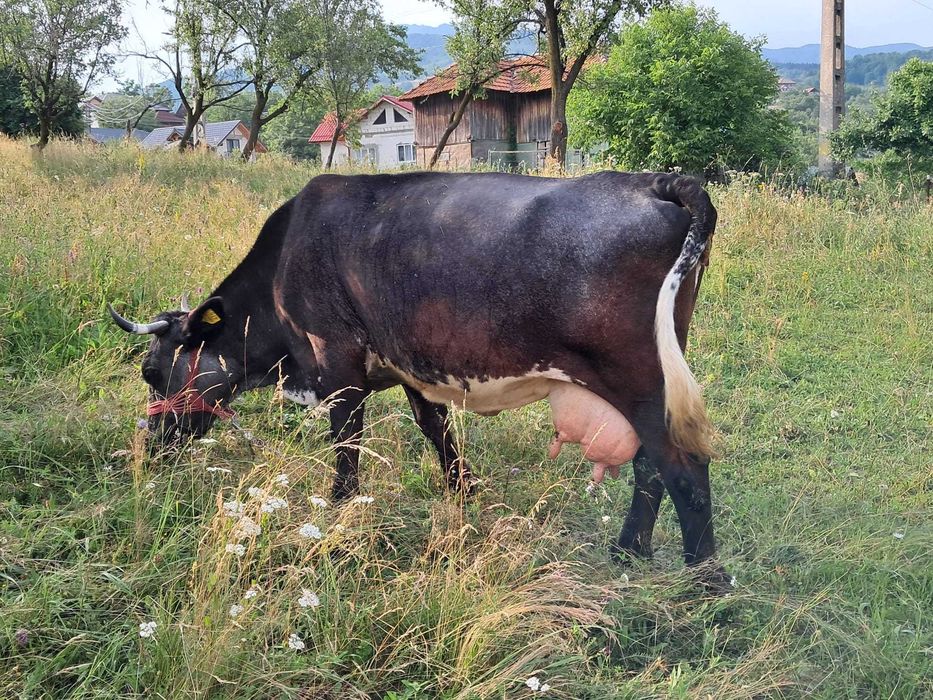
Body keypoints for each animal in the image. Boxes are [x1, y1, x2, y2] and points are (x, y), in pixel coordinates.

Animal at [109, 171, 729, 588]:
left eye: (151, 370)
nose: (148, 443)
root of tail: (656, 180)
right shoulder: (408, 365)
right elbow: (437, 431)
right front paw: (466, 494)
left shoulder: (337, 361)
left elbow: (347, 444)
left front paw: (338, 514)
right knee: (650, 467)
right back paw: (630, 553)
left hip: (641, 379)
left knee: (684, 469)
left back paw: (706, 583)